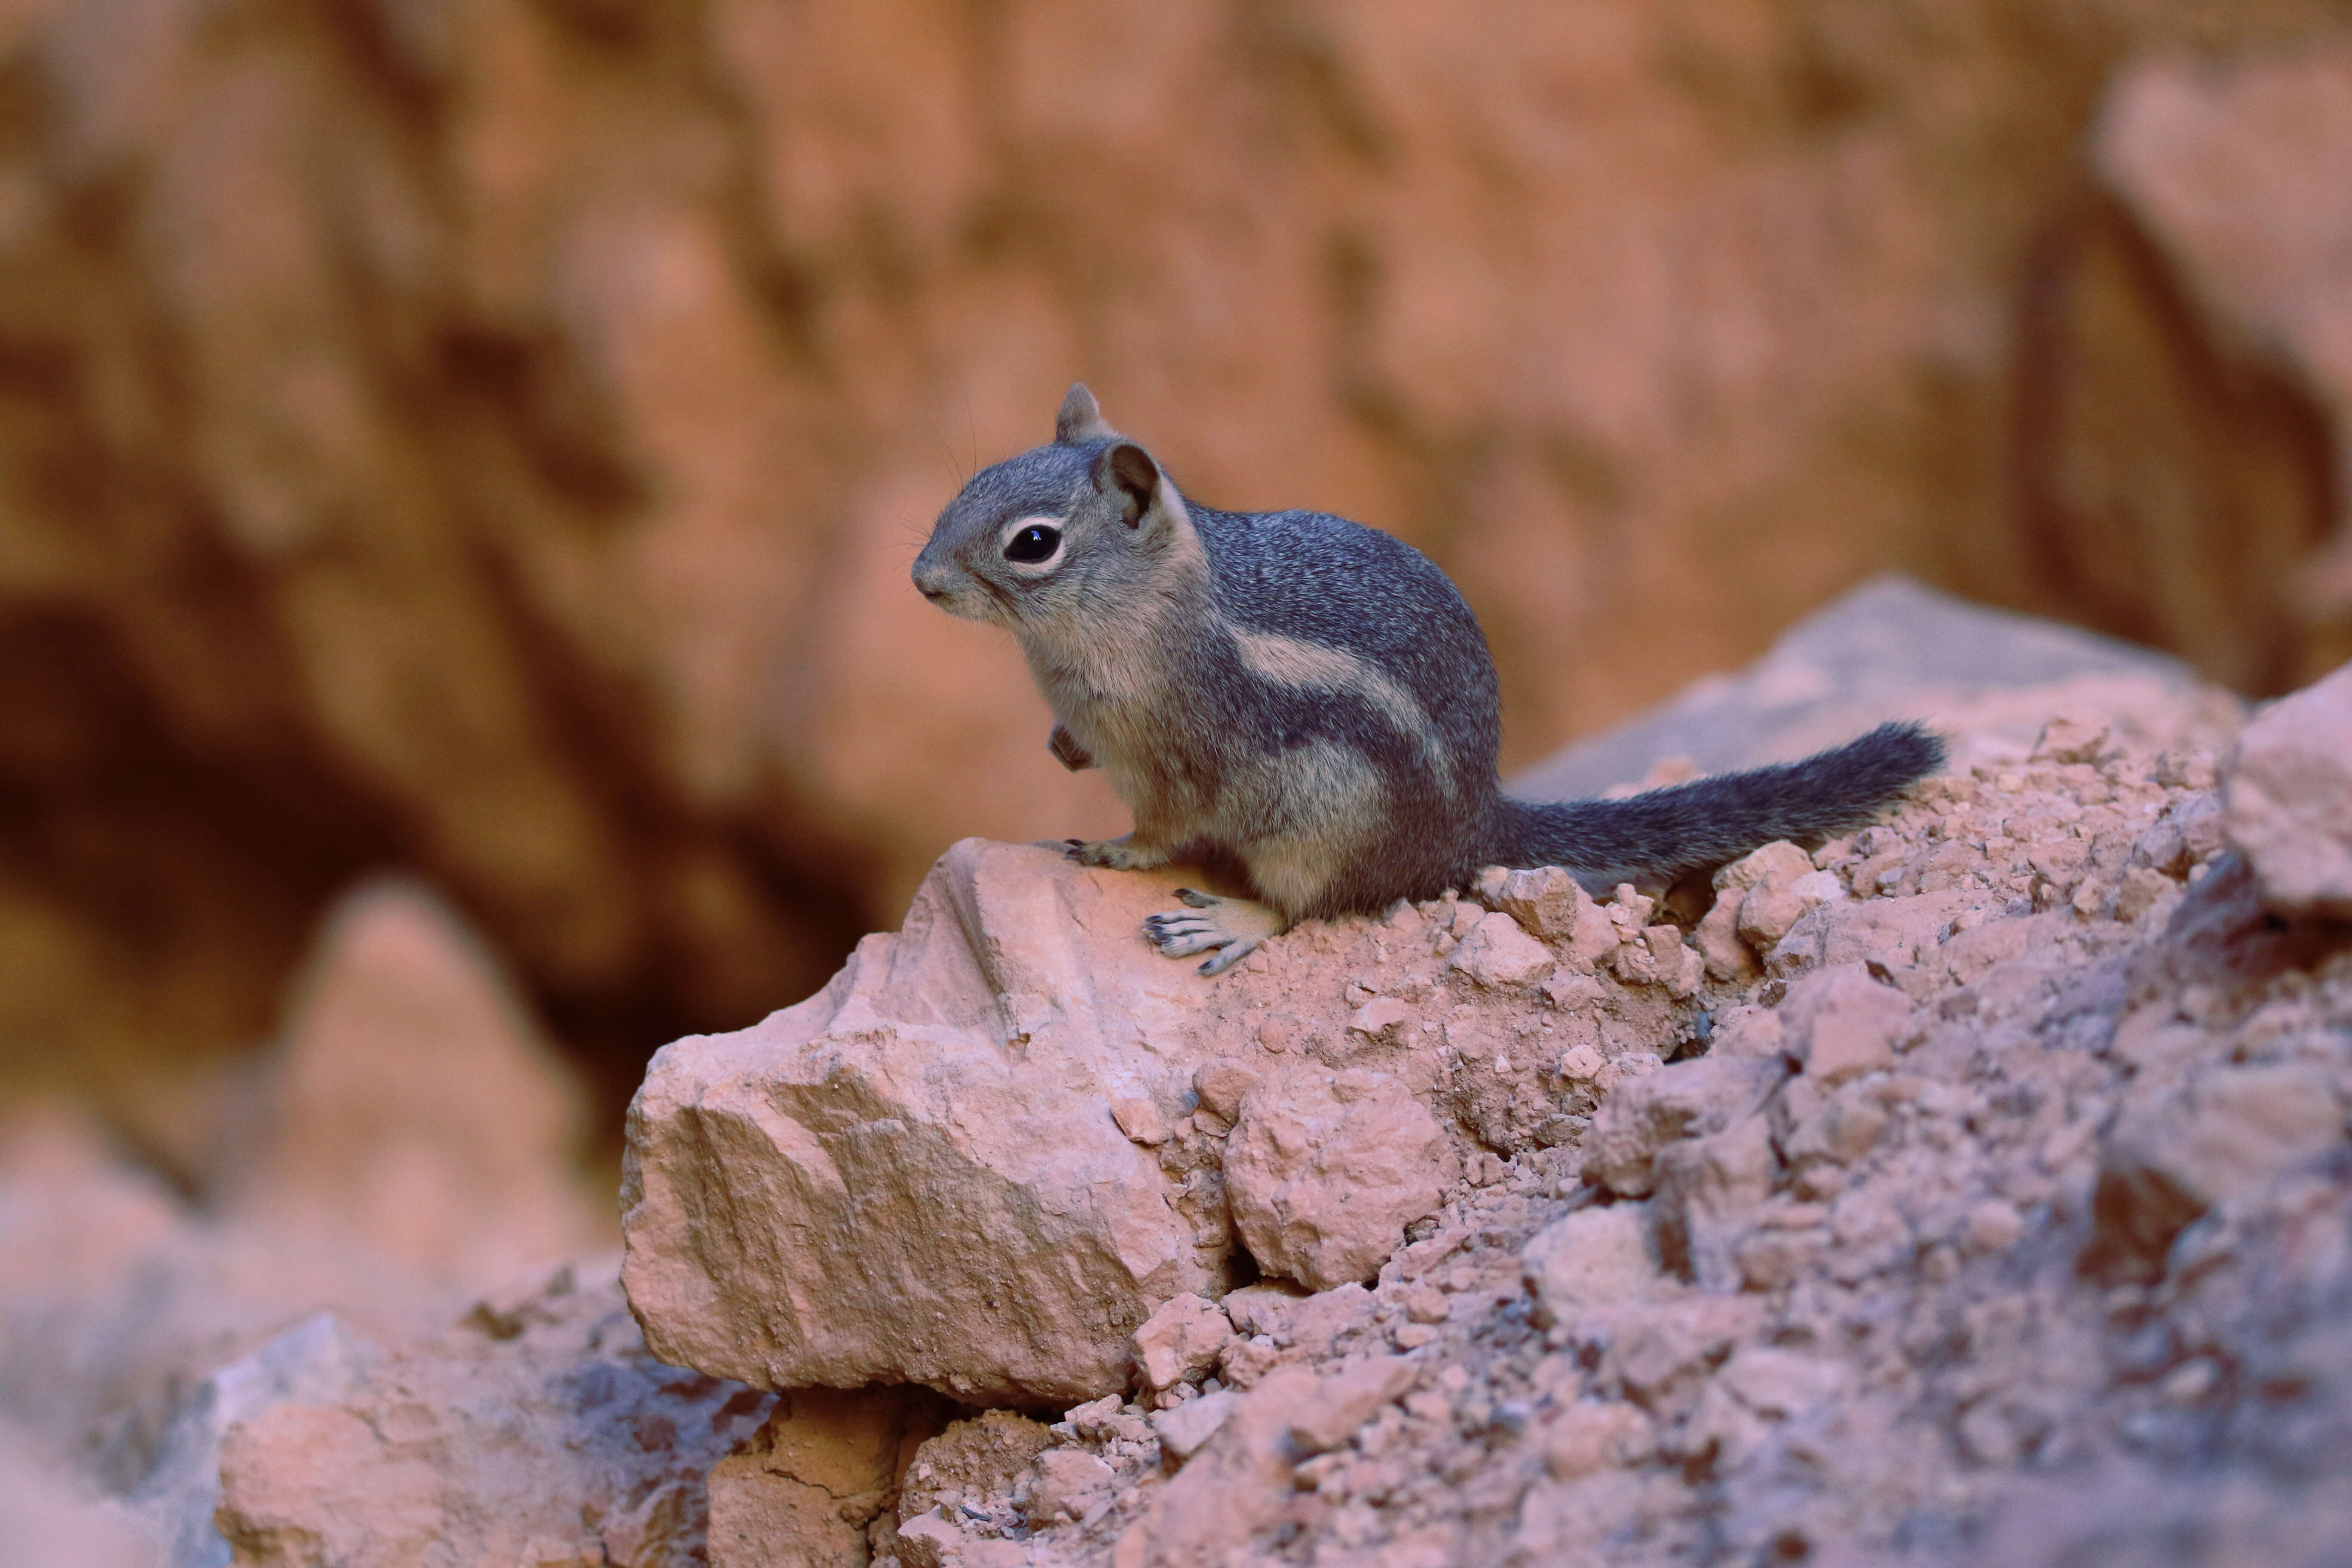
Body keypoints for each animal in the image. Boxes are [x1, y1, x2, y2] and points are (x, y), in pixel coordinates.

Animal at [908, 383, 1938, 968]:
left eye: (1033, 544)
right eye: (970, 485)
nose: (921, 580)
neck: (1148, 605)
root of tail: (1476, 824)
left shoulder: (1180, 759)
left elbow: (1162, 830)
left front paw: (1112, 850)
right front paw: (1061, 746)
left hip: (1324, 820)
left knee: (1309, 904)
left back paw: (1232, 921)